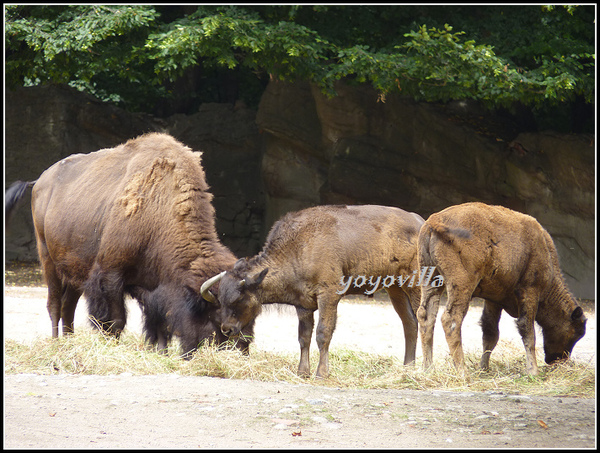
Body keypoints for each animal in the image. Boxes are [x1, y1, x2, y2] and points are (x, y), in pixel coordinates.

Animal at [5, 132, 253, 354]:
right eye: (222, 321)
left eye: (253, 314)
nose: (241, 350)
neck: (158, 208)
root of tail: (40, 180)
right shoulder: (110, 275)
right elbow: (116, 320)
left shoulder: (155, 285)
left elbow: (159, 323)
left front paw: (160, 352)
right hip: (47, 258)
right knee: (55, 304)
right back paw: (56, 343)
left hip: (74, 269)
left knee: (68, 306)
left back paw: (69, 343)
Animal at [418, 201, 584, 374]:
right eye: (575, 333)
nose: (556, 360)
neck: (546, 253)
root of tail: (434, 221)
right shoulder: (530, 289)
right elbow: (527, 330)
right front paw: (533, 371)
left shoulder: (494, 300)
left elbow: (490, 333)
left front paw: (484, 368)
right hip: (461, 285)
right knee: (451, 319)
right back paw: (462, 371)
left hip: (430, 280)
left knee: (426, 317)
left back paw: (427, 368)